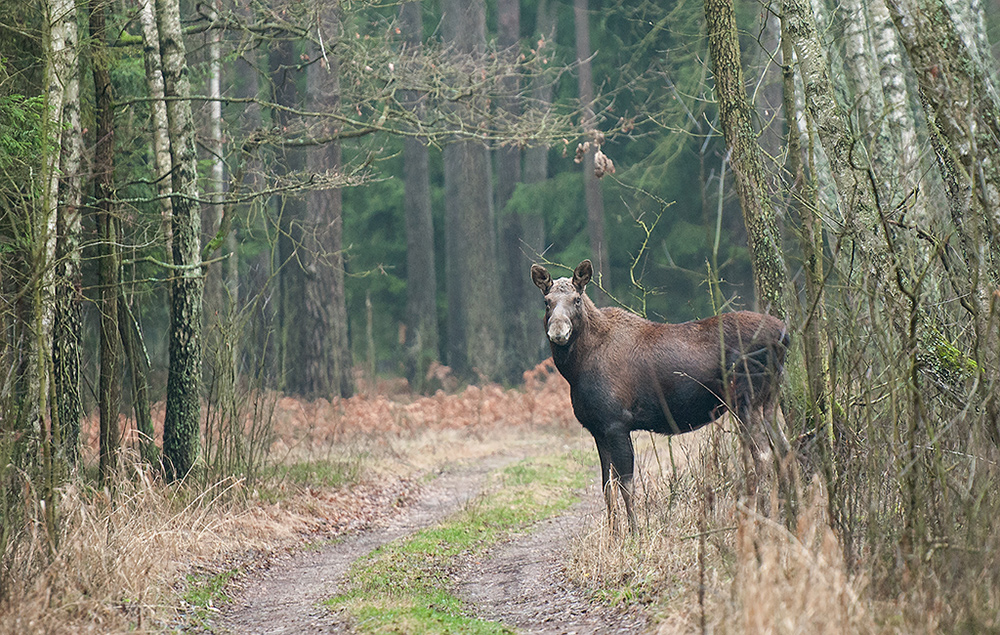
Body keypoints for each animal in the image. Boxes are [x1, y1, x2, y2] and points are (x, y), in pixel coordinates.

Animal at [532, 260, 788, 532]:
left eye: (577, 299)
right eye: (547, 301)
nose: (558, 332)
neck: (576, 369)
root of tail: (785, 335)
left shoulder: (617, 423)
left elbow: (626, 485)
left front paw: (634, 533)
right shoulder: (597, 429)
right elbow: (606, 488)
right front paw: (613, 535)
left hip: (745, 399)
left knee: (763, 454)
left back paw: (762, 518)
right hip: (769, 398)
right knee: (783, 447)